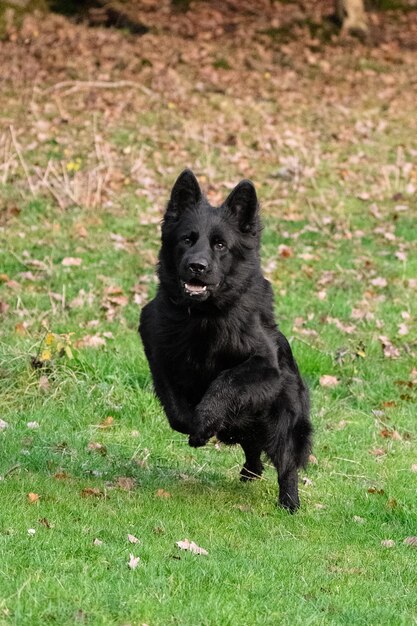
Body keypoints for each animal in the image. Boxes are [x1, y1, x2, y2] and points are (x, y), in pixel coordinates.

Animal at [140, 168, 312, 510]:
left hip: (283, 419)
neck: (203, 315)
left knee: (285, 462)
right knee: (253, 449)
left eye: (220, 245)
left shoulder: (264, 366)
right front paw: (196, 426)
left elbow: (226, 381)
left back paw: (289, 503)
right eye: (187, 239)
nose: (197, 266)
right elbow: (175, 408)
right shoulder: (156, 348)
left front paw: (205, 421)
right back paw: (249, 469)